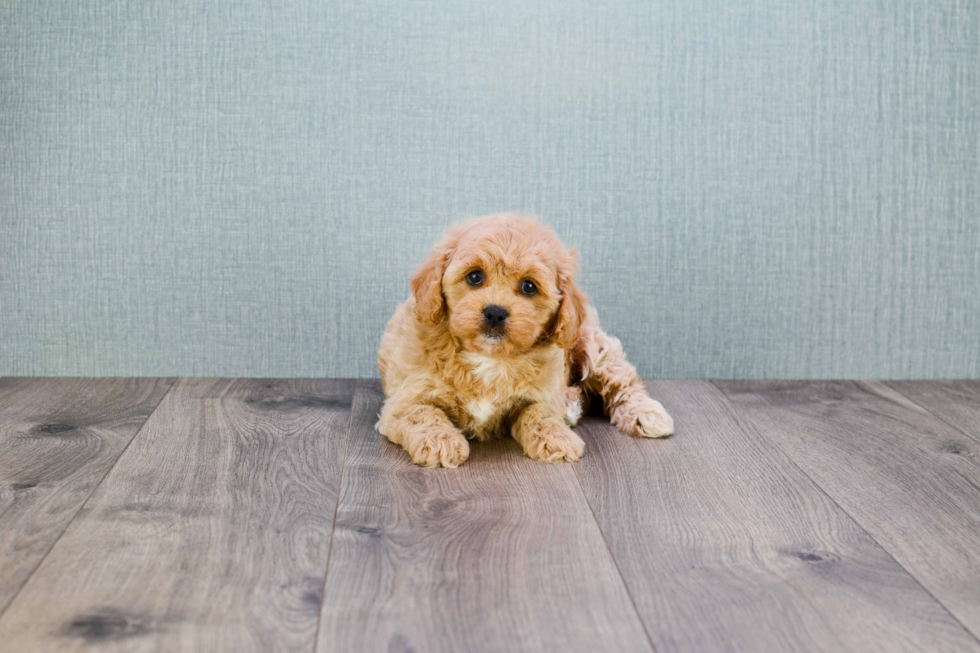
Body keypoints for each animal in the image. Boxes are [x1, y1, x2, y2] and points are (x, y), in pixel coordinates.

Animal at [376, 211, 672, 466]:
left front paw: (557, 437)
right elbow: (421, 413)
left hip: (592, 344)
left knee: (622, 381)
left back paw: (646, 414)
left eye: (529, 286)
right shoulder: (406, 398)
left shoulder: (541, 393)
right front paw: (441, 442)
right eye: (474, 276)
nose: (495, 312)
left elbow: (539, 413)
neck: (489, 357)